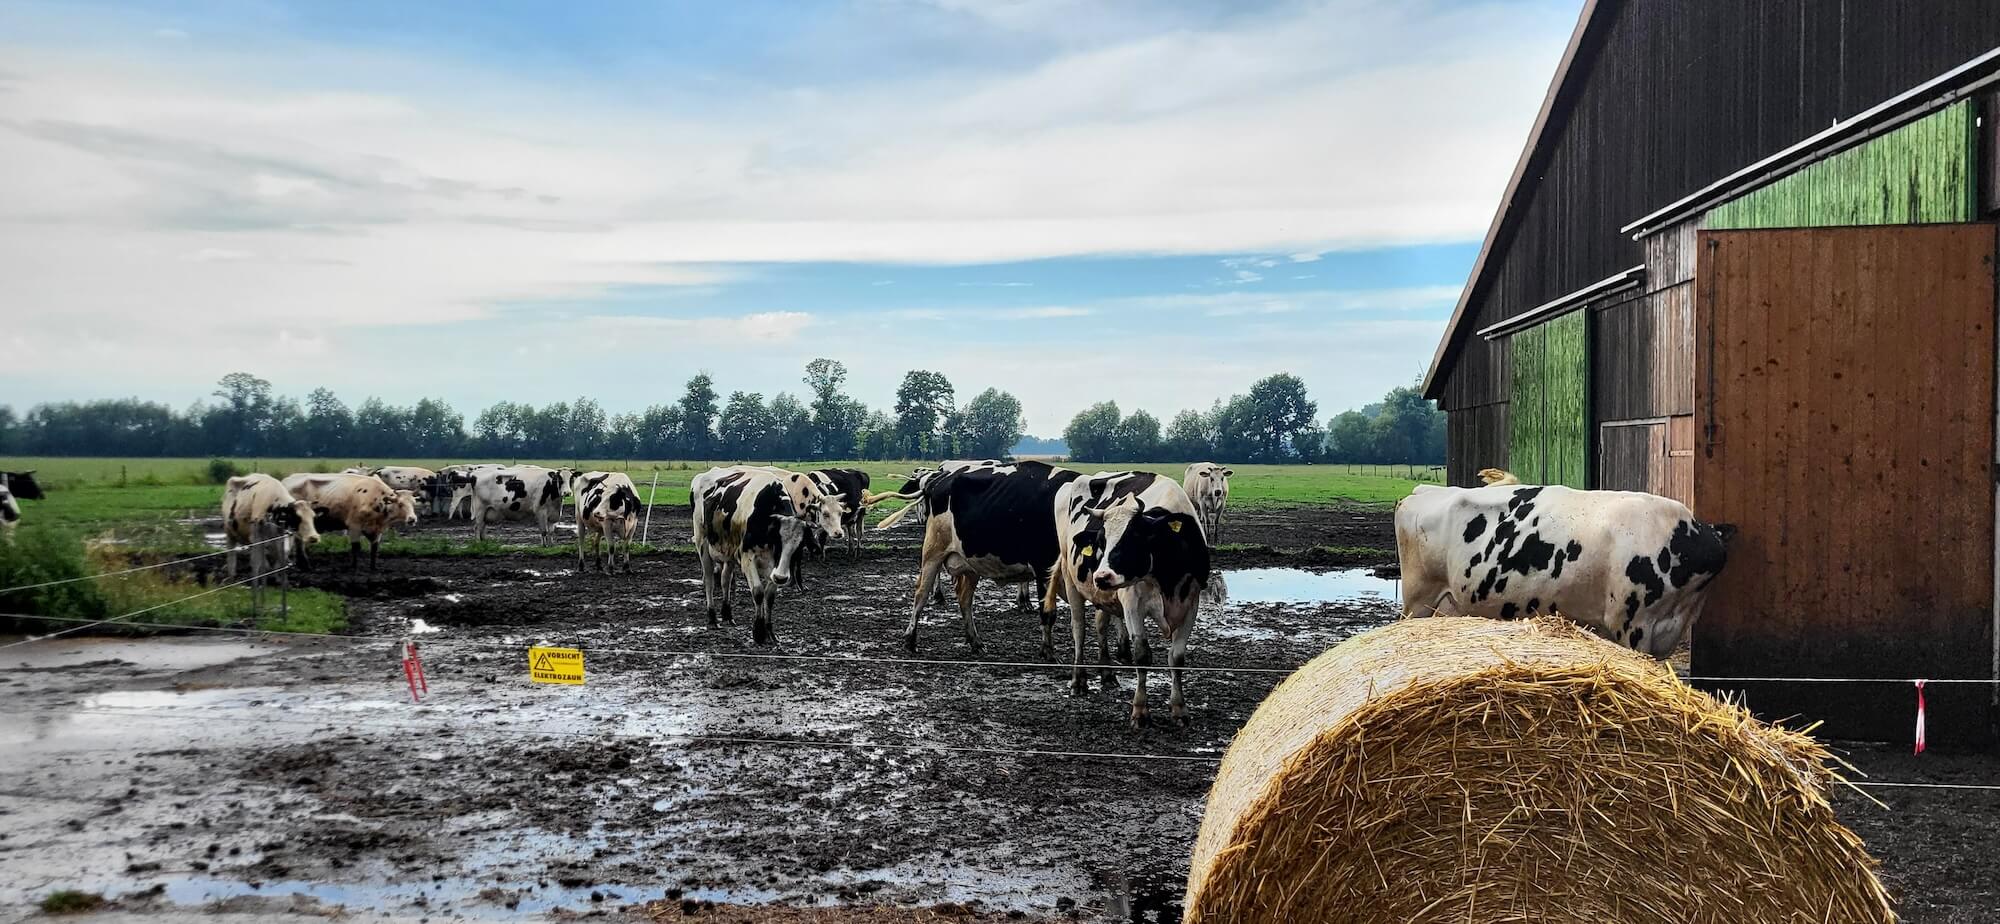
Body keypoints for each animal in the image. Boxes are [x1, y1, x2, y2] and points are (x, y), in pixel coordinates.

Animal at [692, 466, 808, 648]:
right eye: (777, 540)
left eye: (798, 546)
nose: (781, 578)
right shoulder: (747, 558)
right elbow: (759, 592)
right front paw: (758, 633)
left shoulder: (773, 565)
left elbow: (770, 596)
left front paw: (770, 632)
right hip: (702, 544)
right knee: (709, 581)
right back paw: (712, 618)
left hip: (729, 553)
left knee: (725, 580)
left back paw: (727, 615)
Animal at [888, 462, 1080, 656]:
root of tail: (938, 480)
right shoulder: (1044, 567)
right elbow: (1048, 613)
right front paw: (1048, 652)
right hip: (933, 550)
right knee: (921, 593)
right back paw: (910, 639)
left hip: (970, 562)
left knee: (965, 598)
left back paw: (975, 641)